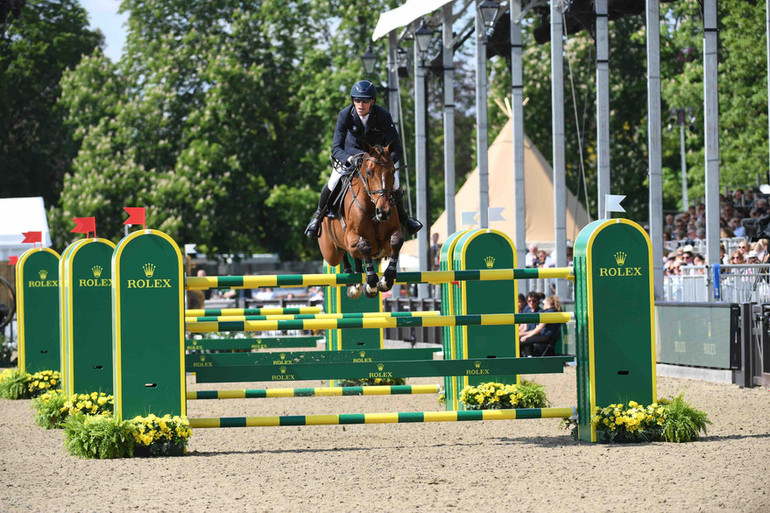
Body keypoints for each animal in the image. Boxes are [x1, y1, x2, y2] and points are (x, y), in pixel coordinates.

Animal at [316, 142, 404, 298]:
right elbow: (363, 245)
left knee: (355, 257)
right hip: (330, 253)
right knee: (342, 255)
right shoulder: (351, 237)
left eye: (393, 171)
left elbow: (396, 241)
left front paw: (386, 279)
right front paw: (371, 284)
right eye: (369, 172)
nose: (383, 212)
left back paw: (357, 282)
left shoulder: (389, 239)